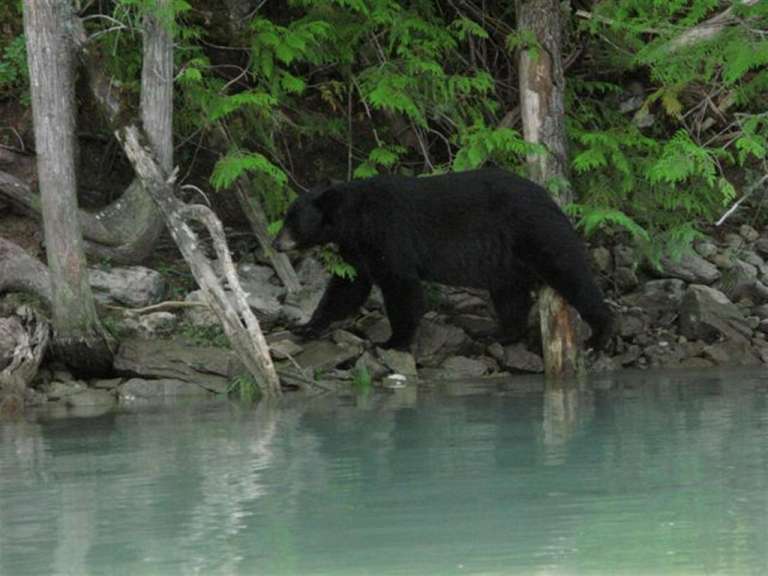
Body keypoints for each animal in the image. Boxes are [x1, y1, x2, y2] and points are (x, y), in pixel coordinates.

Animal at [273, 168, 613, 352]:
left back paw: (601, 333)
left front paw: (394, 340)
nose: (276, 244)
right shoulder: (357, 249)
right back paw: (499, 333)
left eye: (292, 221)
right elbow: (347, 287)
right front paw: (308, 326)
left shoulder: (389, 233)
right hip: (506, 259)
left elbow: (401, 285)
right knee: (510, 294)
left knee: (571, 274)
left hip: (536, 231)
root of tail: (550, 198)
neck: (356, 219)